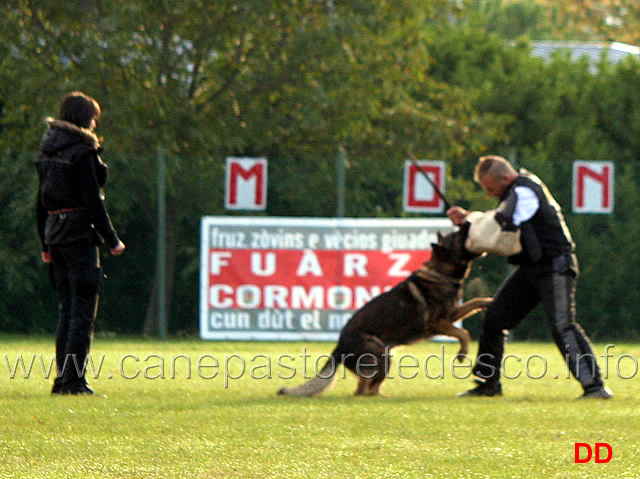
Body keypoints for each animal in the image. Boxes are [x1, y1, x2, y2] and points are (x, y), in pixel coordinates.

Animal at [278, 226, 492, 398]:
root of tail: (338, 347)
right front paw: (462, 353)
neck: (441, 272)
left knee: (366, 389)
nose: (467, 223)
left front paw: (489, 302)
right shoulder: (437, 322)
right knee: (365, 390)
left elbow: (474, 303)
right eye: (457, 236)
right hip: (381, 356)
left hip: (384, 358)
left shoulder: (452, 314)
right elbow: (463, 333)